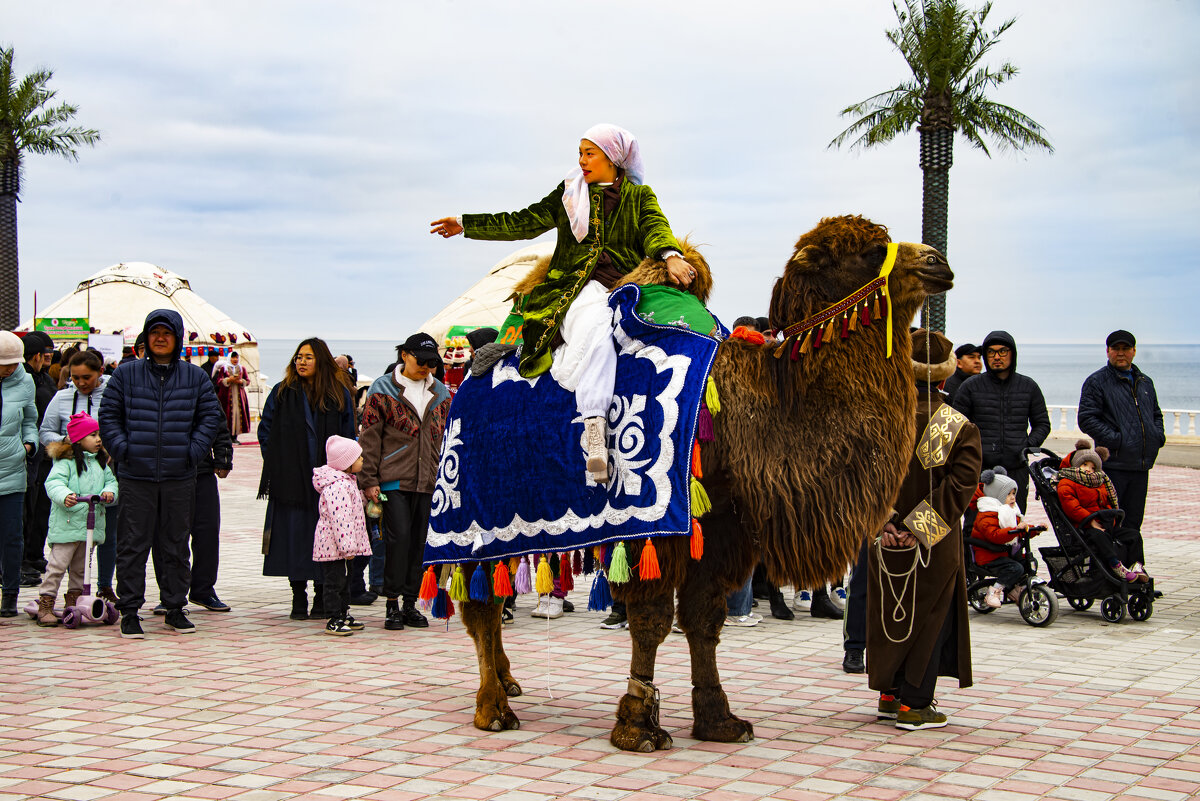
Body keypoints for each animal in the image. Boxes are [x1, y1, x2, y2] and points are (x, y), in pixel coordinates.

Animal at [453, 212, 950, 753]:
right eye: (871, 250)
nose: (937, 262)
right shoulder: (656, 530)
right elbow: (651, 621)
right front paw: (637, 724)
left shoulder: (722, 532)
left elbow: (704, 620)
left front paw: (719, 719)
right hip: (477, 516)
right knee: (481, 602)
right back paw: (492, 709)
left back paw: (508, 684)